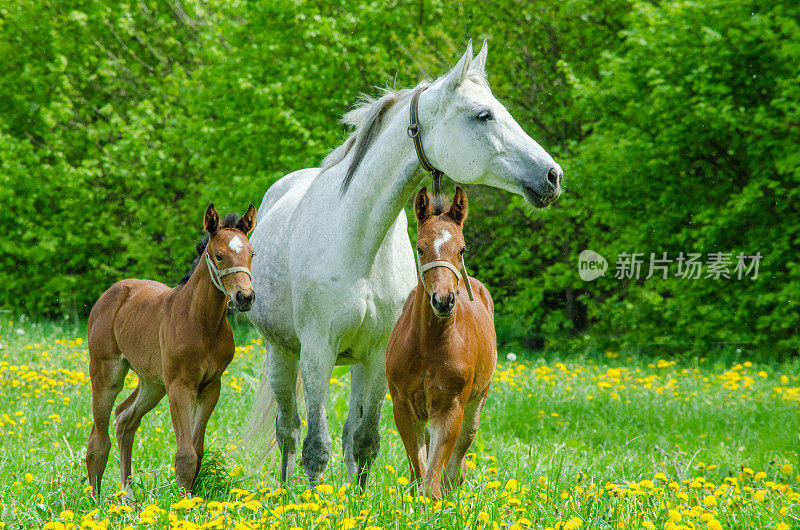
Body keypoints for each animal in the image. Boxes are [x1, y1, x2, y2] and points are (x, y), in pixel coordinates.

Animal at [85, 202, 255, 496]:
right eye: (219, 256)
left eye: (252, 254)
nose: (245, 297)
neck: (201, 321)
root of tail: (113, 291)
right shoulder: (180, 385)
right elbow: (185, 455)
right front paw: (184, 503)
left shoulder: (210, 386)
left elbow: (197, 453)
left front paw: (190, 500)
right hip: (107, 372)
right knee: (98, 438)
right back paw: (95, 502)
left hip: (153, 383)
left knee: (125, 418)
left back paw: (128, 498)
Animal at [386, 186, 496, 496]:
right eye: (420, 248)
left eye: (462, 249)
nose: (444, 300)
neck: (428, 345)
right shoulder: (403, 404)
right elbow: (419, 467)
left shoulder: (449, 406)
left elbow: (434, 475)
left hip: (477, 401)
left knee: (461, 447)